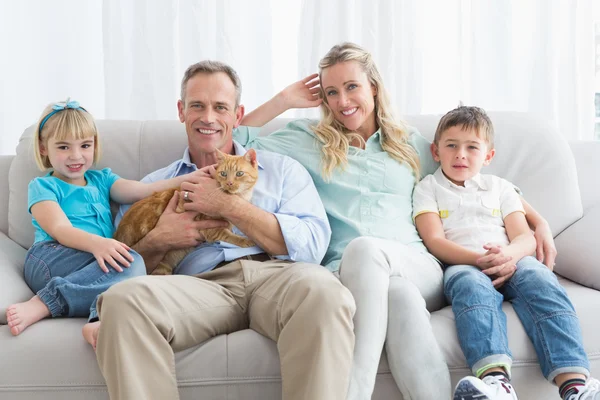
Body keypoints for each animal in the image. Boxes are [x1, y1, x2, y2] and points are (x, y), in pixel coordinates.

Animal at [115, 149, 260, 276]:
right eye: (223, 174)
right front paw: (246, 241)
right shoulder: (210, 228)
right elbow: (230, 236)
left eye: (239, 174)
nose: (229, 183)